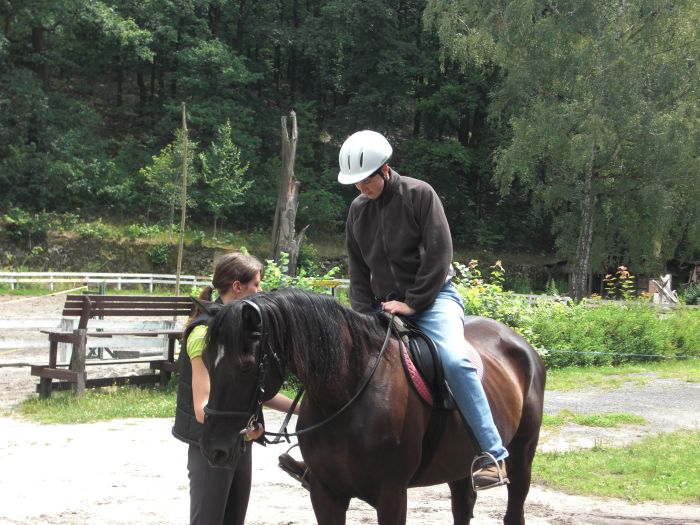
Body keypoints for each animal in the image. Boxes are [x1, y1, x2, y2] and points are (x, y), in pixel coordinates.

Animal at [200, 288, 544, 520]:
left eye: (246, 365)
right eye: (205, 360)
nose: (214, 449)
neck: (346, 395)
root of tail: (520, 342)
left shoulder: (391, 496)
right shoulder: (326, 494)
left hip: (522, 457)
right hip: (459, 468)